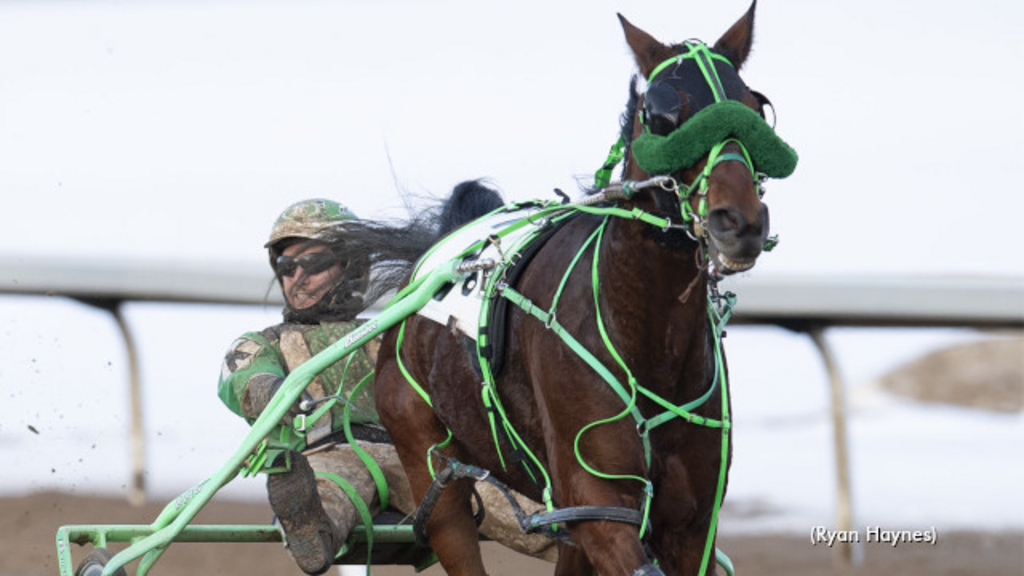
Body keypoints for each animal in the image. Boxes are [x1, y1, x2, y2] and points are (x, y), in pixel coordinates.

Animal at [339, 3, 794, 569]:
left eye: (757, 108)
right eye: (660, 114)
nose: (738, 221)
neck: (647, 339)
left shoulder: (691, 524)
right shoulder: (597, 500)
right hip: (429, 462)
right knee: (449, 520)